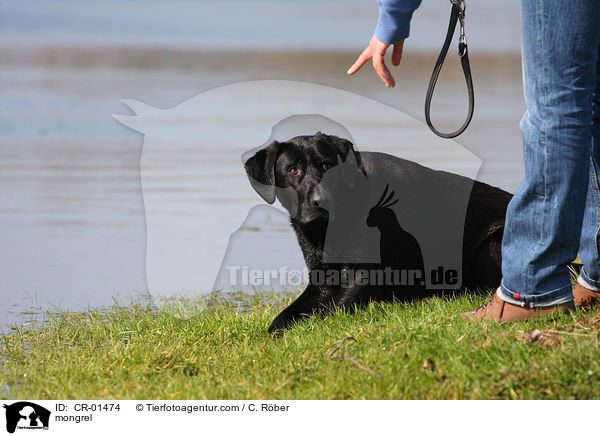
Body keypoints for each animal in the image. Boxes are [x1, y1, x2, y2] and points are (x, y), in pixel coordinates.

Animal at [244, 131, 510, 332]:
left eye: (327, 165)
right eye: (293, 170)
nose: (322, 200)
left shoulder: (365, 274)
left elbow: (331, 311)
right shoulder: (321, 280)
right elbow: (283, 317)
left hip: (492, 243)